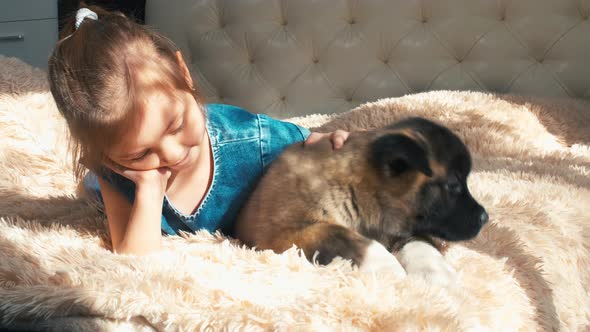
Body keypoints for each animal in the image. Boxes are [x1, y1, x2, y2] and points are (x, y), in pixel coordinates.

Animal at [236, 116, 490, 282]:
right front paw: (390, 270)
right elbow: (345, 237)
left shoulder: (402, 228)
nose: (485, 218)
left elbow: (422, 244)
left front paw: (437, 275)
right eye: (453, 185)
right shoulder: (285, 234)